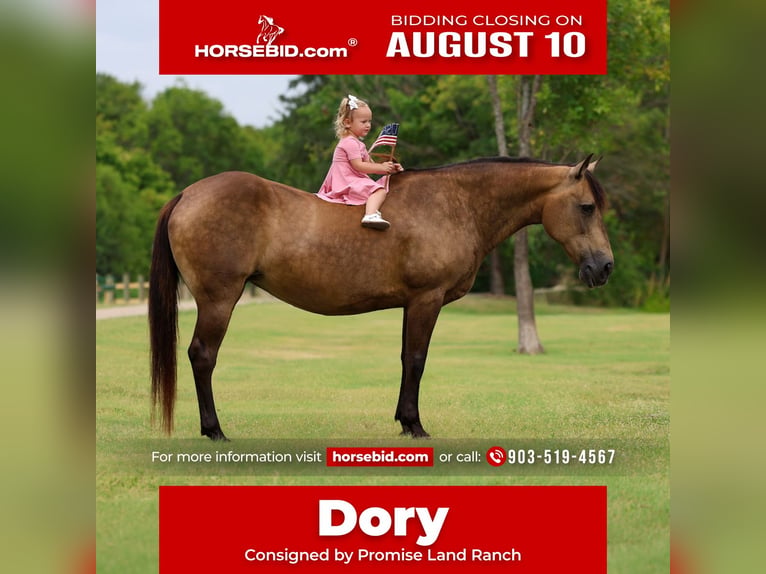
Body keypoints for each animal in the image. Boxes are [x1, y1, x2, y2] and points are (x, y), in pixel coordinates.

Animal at [149, 156, 613, 440]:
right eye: (587, 207)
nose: (605, 267)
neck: (456, 202)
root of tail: (188, 194)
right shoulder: (427, 299)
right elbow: (417, 360)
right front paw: (416, 425)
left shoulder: (412, 304)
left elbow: (407, 359)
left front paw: (405, 422)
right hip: (219, 300)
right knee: (202, 356)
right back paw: (214, 430)